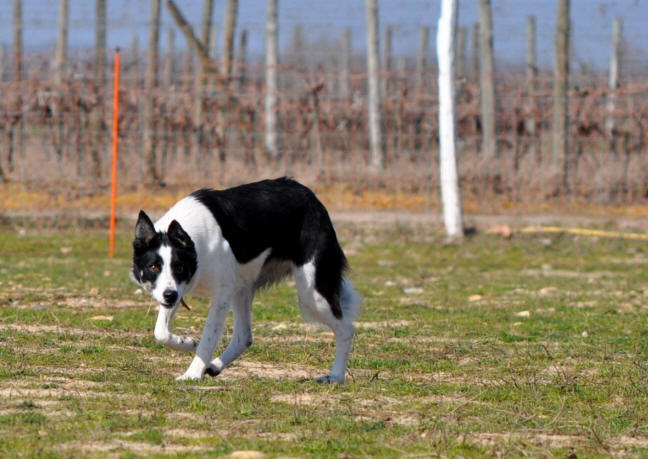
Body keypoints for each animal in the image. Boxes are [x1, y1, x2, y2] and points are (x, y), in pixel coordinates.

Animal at [132, 178, 362, 382]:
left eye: (179, 267)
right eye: (154, 267)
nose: (169, 296)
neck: (195, 244)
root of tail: (310, 195)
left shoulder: (221, 294)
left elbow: (208, 337)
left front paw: (192, 374)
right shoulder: (176, 290)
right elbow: (160, 332)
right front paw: (186, 342)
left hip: (312, 295)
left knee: (346, 330)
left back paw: (336, 376)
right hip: (243, 288)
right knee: (244, 337)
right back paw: (214, 366)